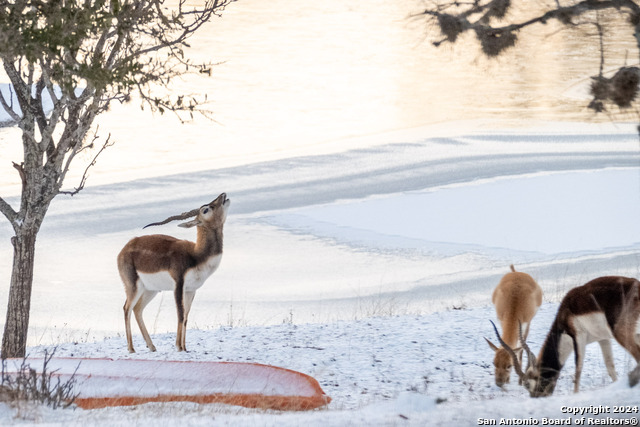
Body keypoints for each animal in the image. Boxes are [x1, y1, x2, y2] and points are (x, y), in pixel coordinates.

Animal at [117, 192, 230, 352]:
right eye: (205, 209)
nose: (223, 195)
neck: (196, 255)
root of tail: (125, 248)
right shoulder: (178, 285)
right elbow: (180, 315)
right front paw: (178, 347)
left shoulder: (191, 290)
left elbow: (186, 317)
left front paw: (185, 347)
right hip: (133, 286)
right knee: (127, 308)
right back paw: (131, 349)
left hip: (150, 290)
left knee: (137, 309)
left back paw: (152, 346)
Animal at [496, 278, 640, 398]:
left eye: (527, 384)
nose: (536, 397)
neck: (565, 313)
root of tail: (636, 287)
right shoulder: (603, 339)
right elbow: (610, 367)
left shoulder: (578, 337)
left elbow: (578, 369)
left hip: (622, 334)